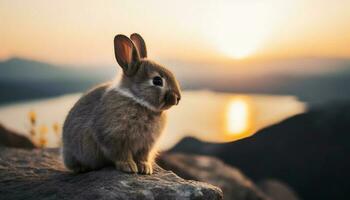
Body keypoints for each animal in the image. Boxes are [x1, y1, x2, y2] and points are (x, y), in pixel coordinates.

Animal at [61, 33, 180, 174]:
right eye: (157, 81)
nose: (178, 98)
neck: (137, 100)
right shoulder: (115, 138)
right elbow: (121, 155)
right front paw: (129, 167)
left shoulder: (146, 145)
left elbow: (142, 157)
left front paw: (145, 168)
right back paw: (81, 168)